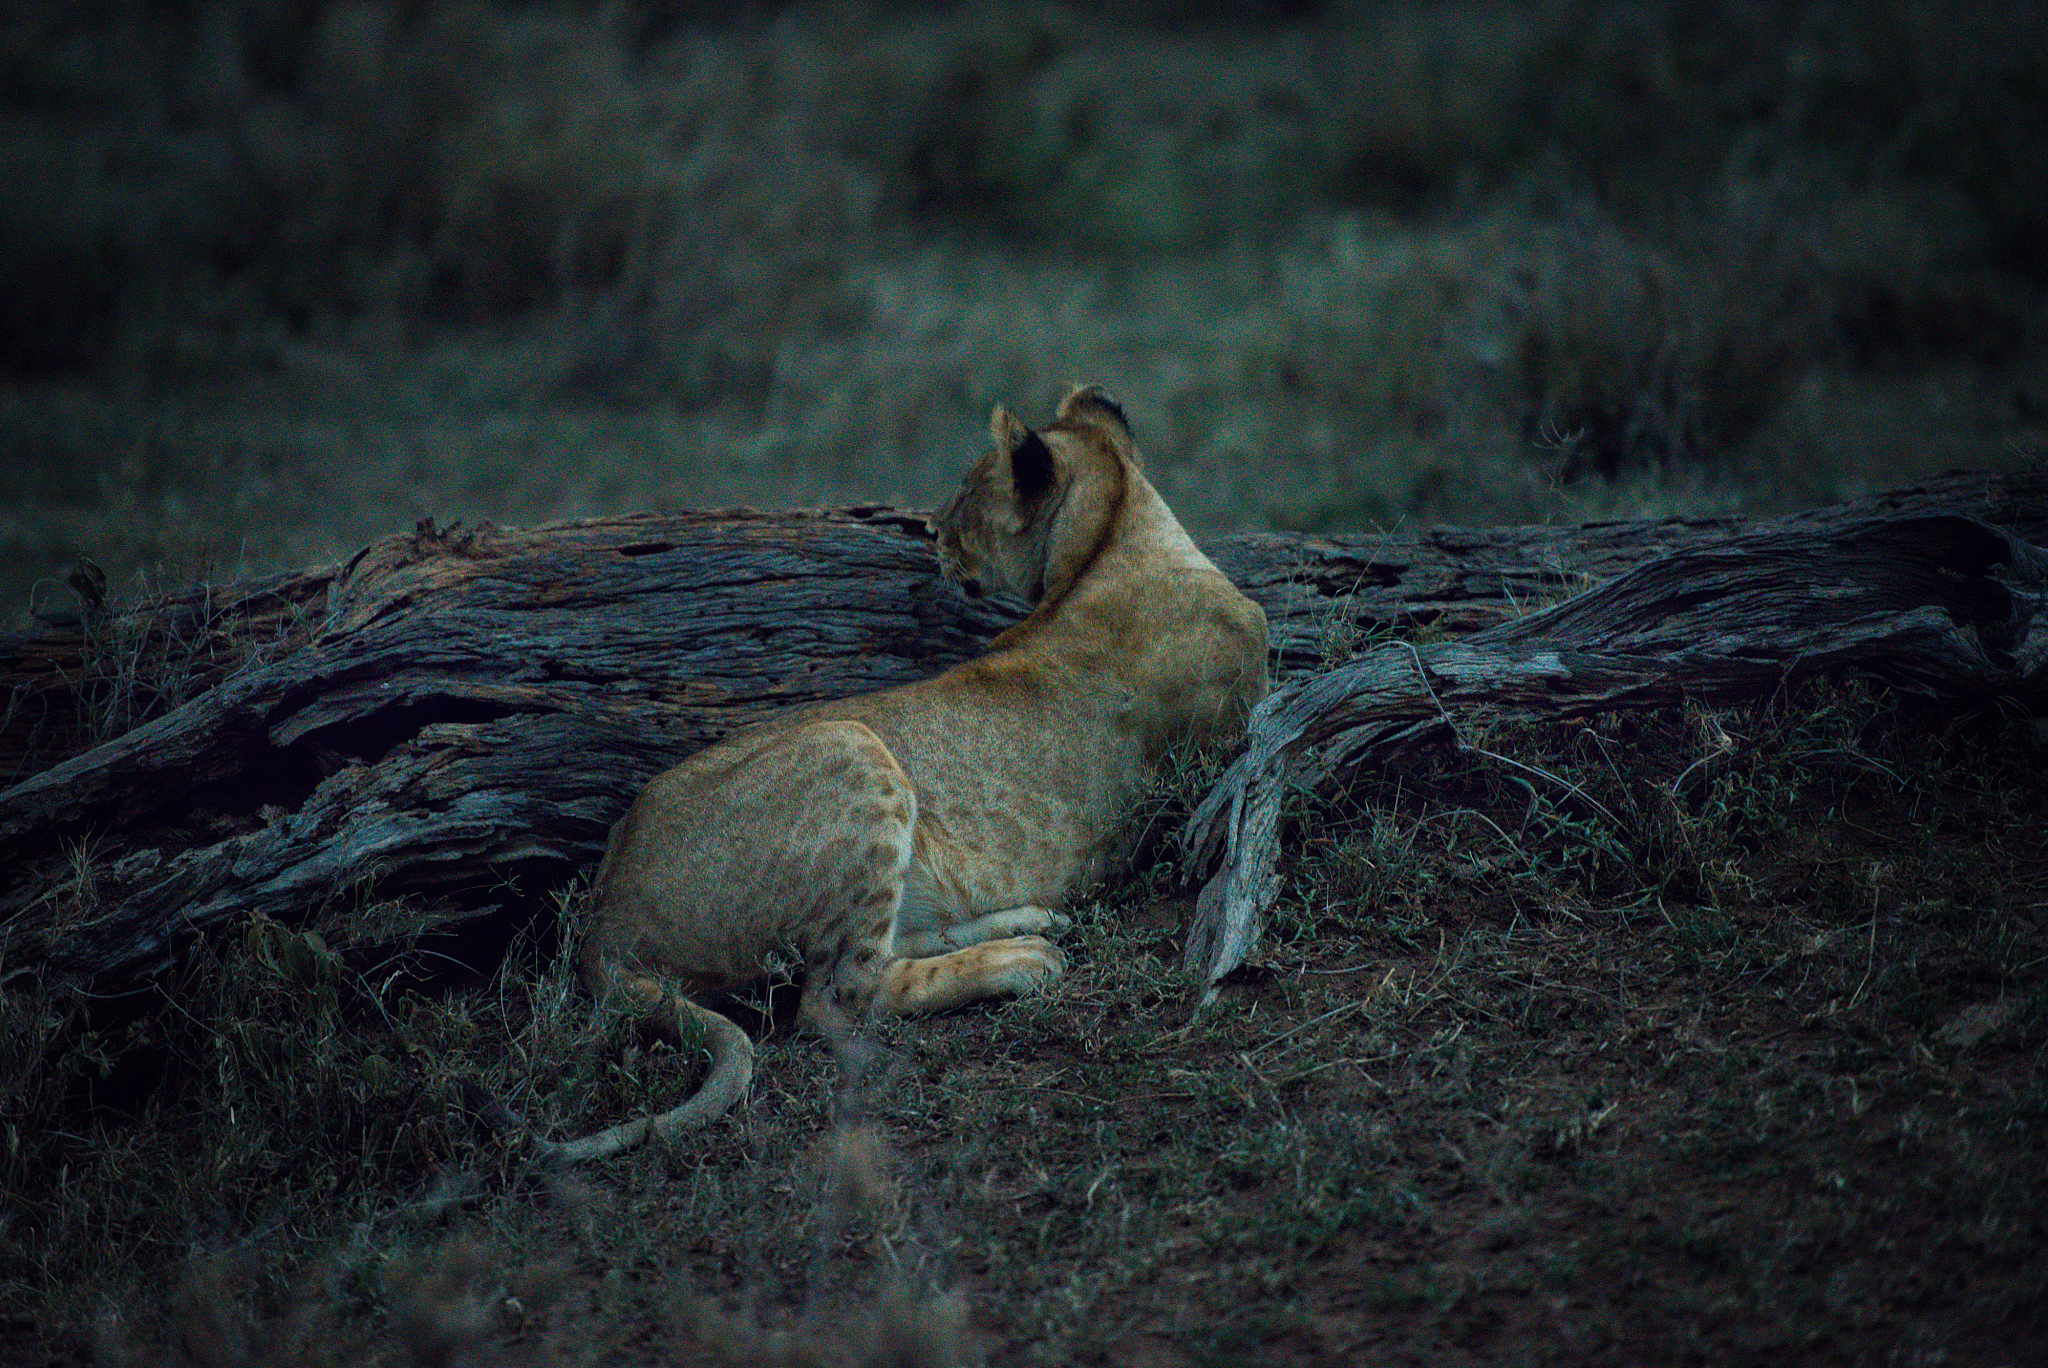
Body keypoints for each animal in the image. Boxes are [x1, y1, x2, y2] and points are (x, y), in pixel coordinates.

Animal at [510, 384, 1268, 1165]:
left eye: (962, 503)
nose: (931, 535)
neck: (1112, 536)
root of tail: (602, 918)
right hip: (850, 744)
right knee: (837, 1002)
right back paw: (1022, 958)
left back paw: (1029, 921)